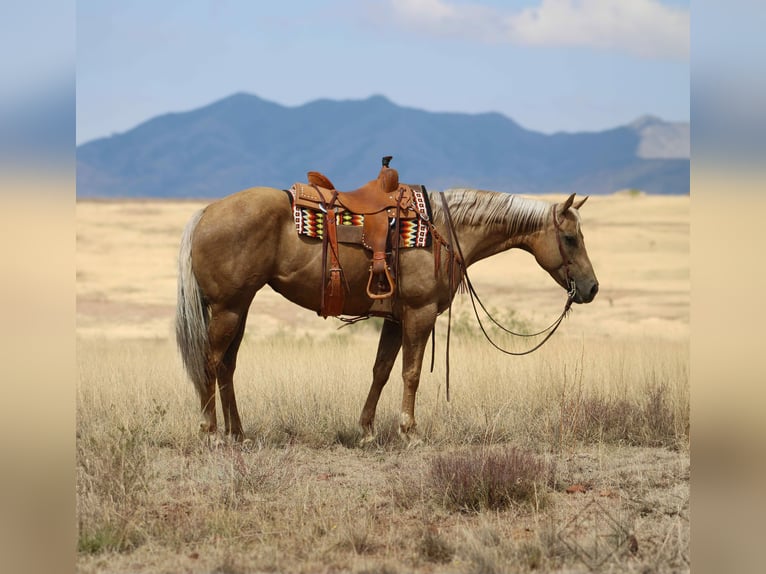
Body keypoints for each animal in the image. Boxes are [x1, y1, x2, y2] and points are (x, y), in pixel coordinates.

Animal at [175, 186, 599, 441]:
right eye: (569, 238)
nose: (592, 288)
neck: (445, 231)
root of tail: (206, 212)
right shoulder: (419, 314)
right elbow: (411, 374)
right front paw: (409, 430)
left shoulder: (395, 320)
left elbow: (381, 370)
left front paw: (366, 429)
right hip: (229, 308)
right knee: (210, 362)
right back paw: (211, 431)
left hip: (240, 308)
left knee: (227, 366)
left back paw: (238, 433)